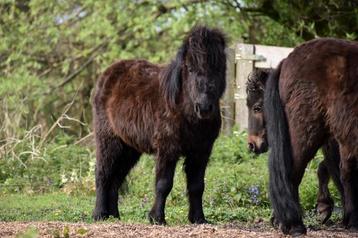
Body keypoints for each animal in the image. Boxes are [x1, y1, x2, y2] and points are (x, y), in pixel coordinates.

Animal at [92, 26, 227, 225]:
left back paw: (114, 216)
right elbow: (164, 184)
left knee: (116, 179)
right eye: (190, 69)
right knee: (103, 174)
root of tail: (108, 73)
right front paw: (156, 218)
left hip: (129, 148)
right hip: (108, 140)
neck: (183, 108)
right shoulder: (167, 149)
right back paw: (99, 214)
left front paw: (198, 218)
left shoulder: (201, 151)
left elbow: (197, 186)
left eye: (219, 67)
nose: (204, 107)